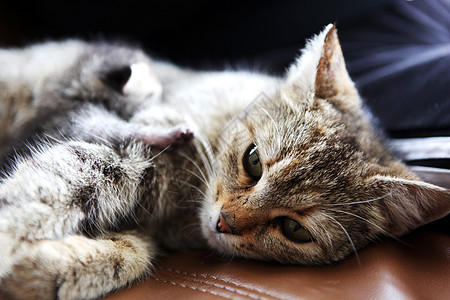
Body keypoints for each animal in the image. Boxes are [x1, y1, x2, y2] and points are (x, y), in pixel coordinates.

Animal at [0, 25, 450, 300]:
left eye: (294, 229)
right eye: (253, 161)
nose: (224, 222)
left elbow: (128, 256)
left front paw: (40, 269)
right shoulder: (121, 148)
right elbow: (42, 192)